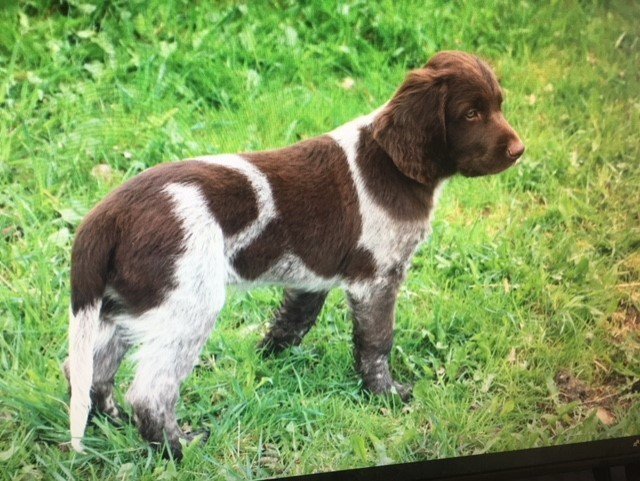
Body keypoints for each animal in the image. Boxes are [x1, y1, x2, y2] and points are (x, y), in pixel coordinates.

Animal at [65, 50, 524, 456]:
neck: (391, 163)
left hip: (123, 303)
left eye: (500, 105)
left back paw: (112, 421)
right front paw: (387, 395)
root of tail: (107, 216)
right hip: (187, 304)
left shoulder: (312, 278)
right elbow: (376, 342)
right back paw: (178, 447)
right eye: (470, 114)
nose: (520, 150)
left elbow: (294, 322)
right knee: (150, 392)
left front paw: (267, 361)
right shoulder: (376, 278)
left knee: (87, 370)